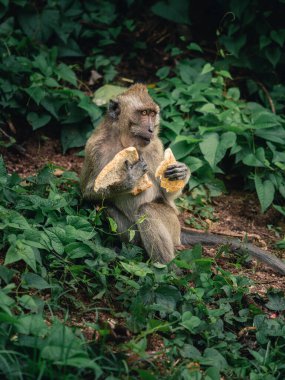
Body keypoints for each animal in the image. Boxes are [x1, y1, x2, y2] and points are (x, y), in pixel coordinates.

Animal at [80, 83, 285, 274]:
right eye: (143, 113)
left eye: (152, 114)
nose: (151, 128)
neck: (125, 142)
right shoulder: (95, 148)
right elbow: (88, 193)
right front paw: (129, 179)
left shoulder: (155, 147)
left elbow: (165, 195)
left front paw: (181, 173)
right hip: (134, 231)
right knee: (106, 207)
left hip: (172, 224)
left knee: (148, 210)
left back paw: (168, 271)